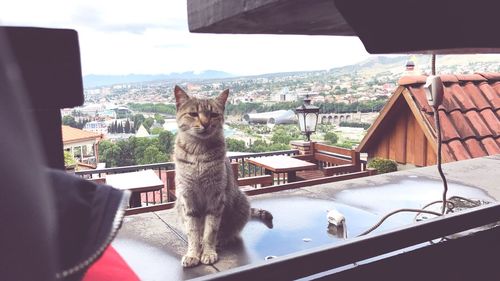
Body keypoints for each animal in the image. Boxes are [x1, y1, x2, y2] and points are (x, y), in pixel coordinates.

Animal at [173, 85, 274, 266]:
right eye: (193, 114)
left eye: (213, 114)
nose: (205, 123)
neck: (198, 152)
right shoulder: (188, 198)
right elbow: (193, 231)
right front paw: (193, 254)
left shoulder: (216, 197)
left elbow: (210, 230)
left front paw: (208, 252)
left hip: (240, 203)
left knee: (229, 233)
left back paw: (221, 241)